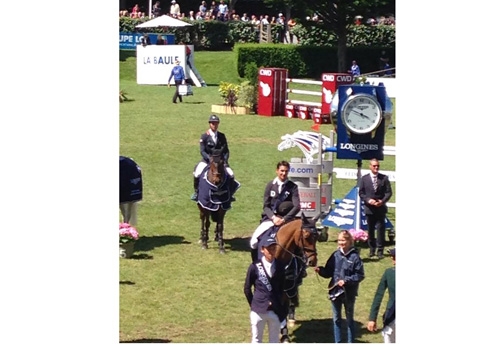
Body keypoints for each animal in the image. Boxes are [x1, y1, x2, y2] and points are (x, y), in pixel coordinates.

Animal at [274, 212, 320, 342]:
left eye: (317, 237)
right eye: (306, 236)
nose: (313, 261)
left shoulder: (287, 285)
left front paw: (284, 335)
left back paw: (291, 318)